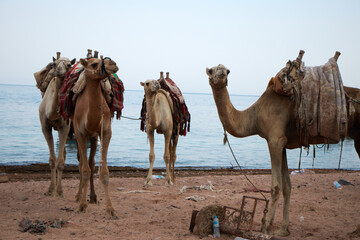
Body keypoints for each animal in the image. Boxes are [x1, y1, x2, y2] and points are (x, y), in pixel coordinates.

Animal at [37, 52, 75, 197]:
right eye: (54, 64)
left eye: (69, 65)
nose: (58, 71)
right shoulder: (45, 127)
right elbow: (53, 161)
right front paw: (50, 189)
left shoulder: (65, 128)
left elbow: (60, 162)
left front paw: (59, 191)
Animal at [71, 55, 119, 218]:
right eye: (93, 64)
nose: (113, 64)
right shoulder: (79, 133)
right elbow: (84, 169)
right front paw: (81, 205)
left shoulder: (105, 132)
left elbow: (103, 171)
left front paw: (111, 209)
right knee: (82, 163)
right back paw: (79, 196)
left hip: (93, 137)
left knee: (91, 163)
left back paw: (92, 197)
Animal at [205, 52, 360, 236]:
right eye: (211, 70)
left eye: (227, 70)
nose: (221, 71)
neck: (254, 116)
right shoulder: (283, 144)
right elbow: (287, 186)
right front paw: (283, 229)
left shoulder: (274, 140)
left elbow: (276, 187)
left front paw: (265, 227)